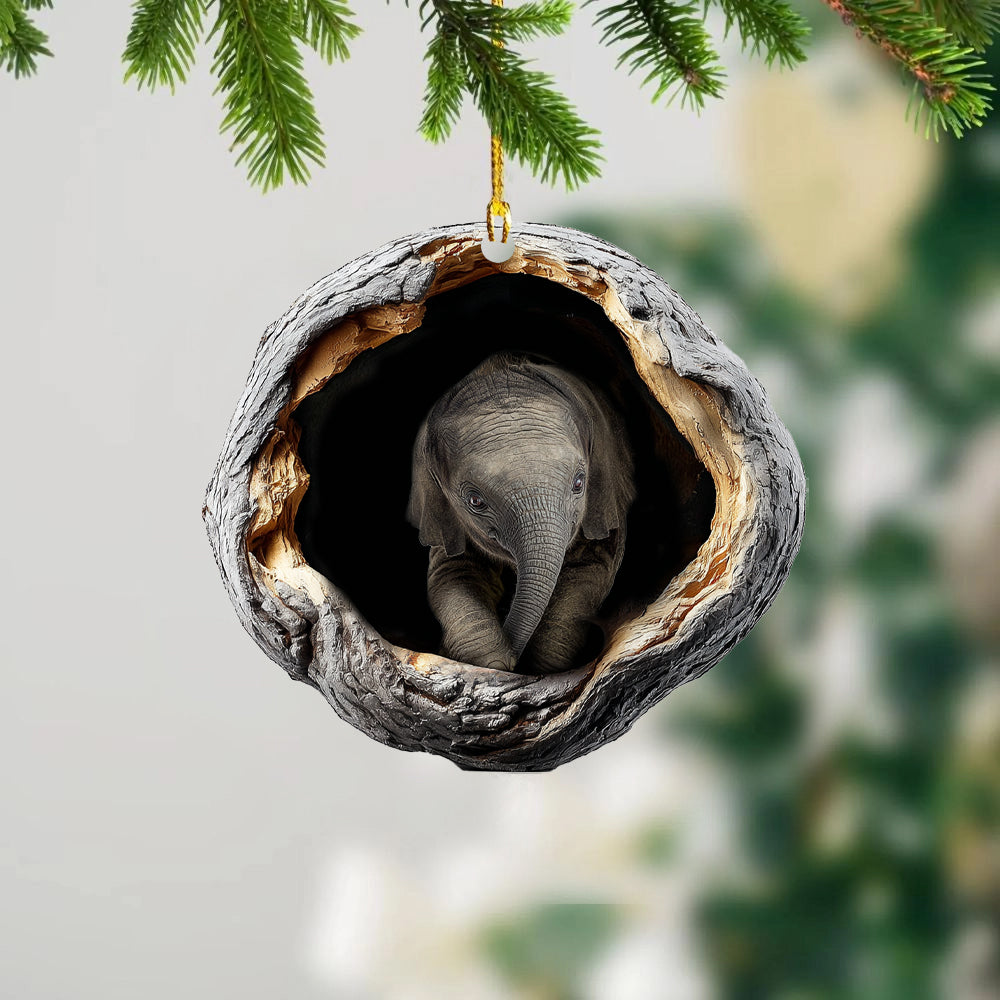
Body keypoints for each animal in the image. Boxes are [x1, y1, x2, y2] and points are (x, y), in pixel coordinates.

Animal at [407, 352, 635, 674]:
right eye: (475, 501)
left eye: (580, 483)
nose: (515, 658)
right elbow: (452, 574)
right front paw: (495, 660)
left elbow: (589, 573)